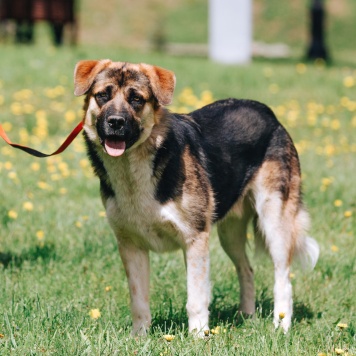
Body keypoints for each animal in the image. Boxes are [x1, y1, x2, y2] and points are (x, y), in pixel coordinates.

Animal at [73, 59, 318, 336]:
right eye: (102, 95)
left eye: (136, 99)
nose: (116, 122)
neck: (133, 171)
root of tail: (269, 114)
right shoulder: (131, 245)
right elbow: (139, 300)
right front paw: (139, 337)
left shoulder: (195, 239)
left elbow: (196, 298)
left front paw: (198, 336)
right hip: (229, 233)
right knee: (247, 269)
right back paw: (246, 316)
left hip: (274, 221)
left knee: (283, 278)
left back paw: (281, 325)